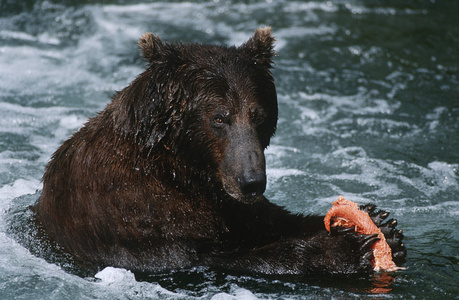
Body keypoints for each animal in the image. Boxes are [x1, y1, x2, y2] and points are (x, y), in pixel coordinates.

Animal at [36, 27, 406, 274]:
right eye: (219, 117)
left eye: (258, 115)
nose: (252, 182)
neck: (182, 169)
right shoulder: (136, 215)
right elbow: (214, 256)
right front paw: (342, 248)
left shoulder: (230, 203)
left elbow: (272, 219)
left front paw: (382, 224)